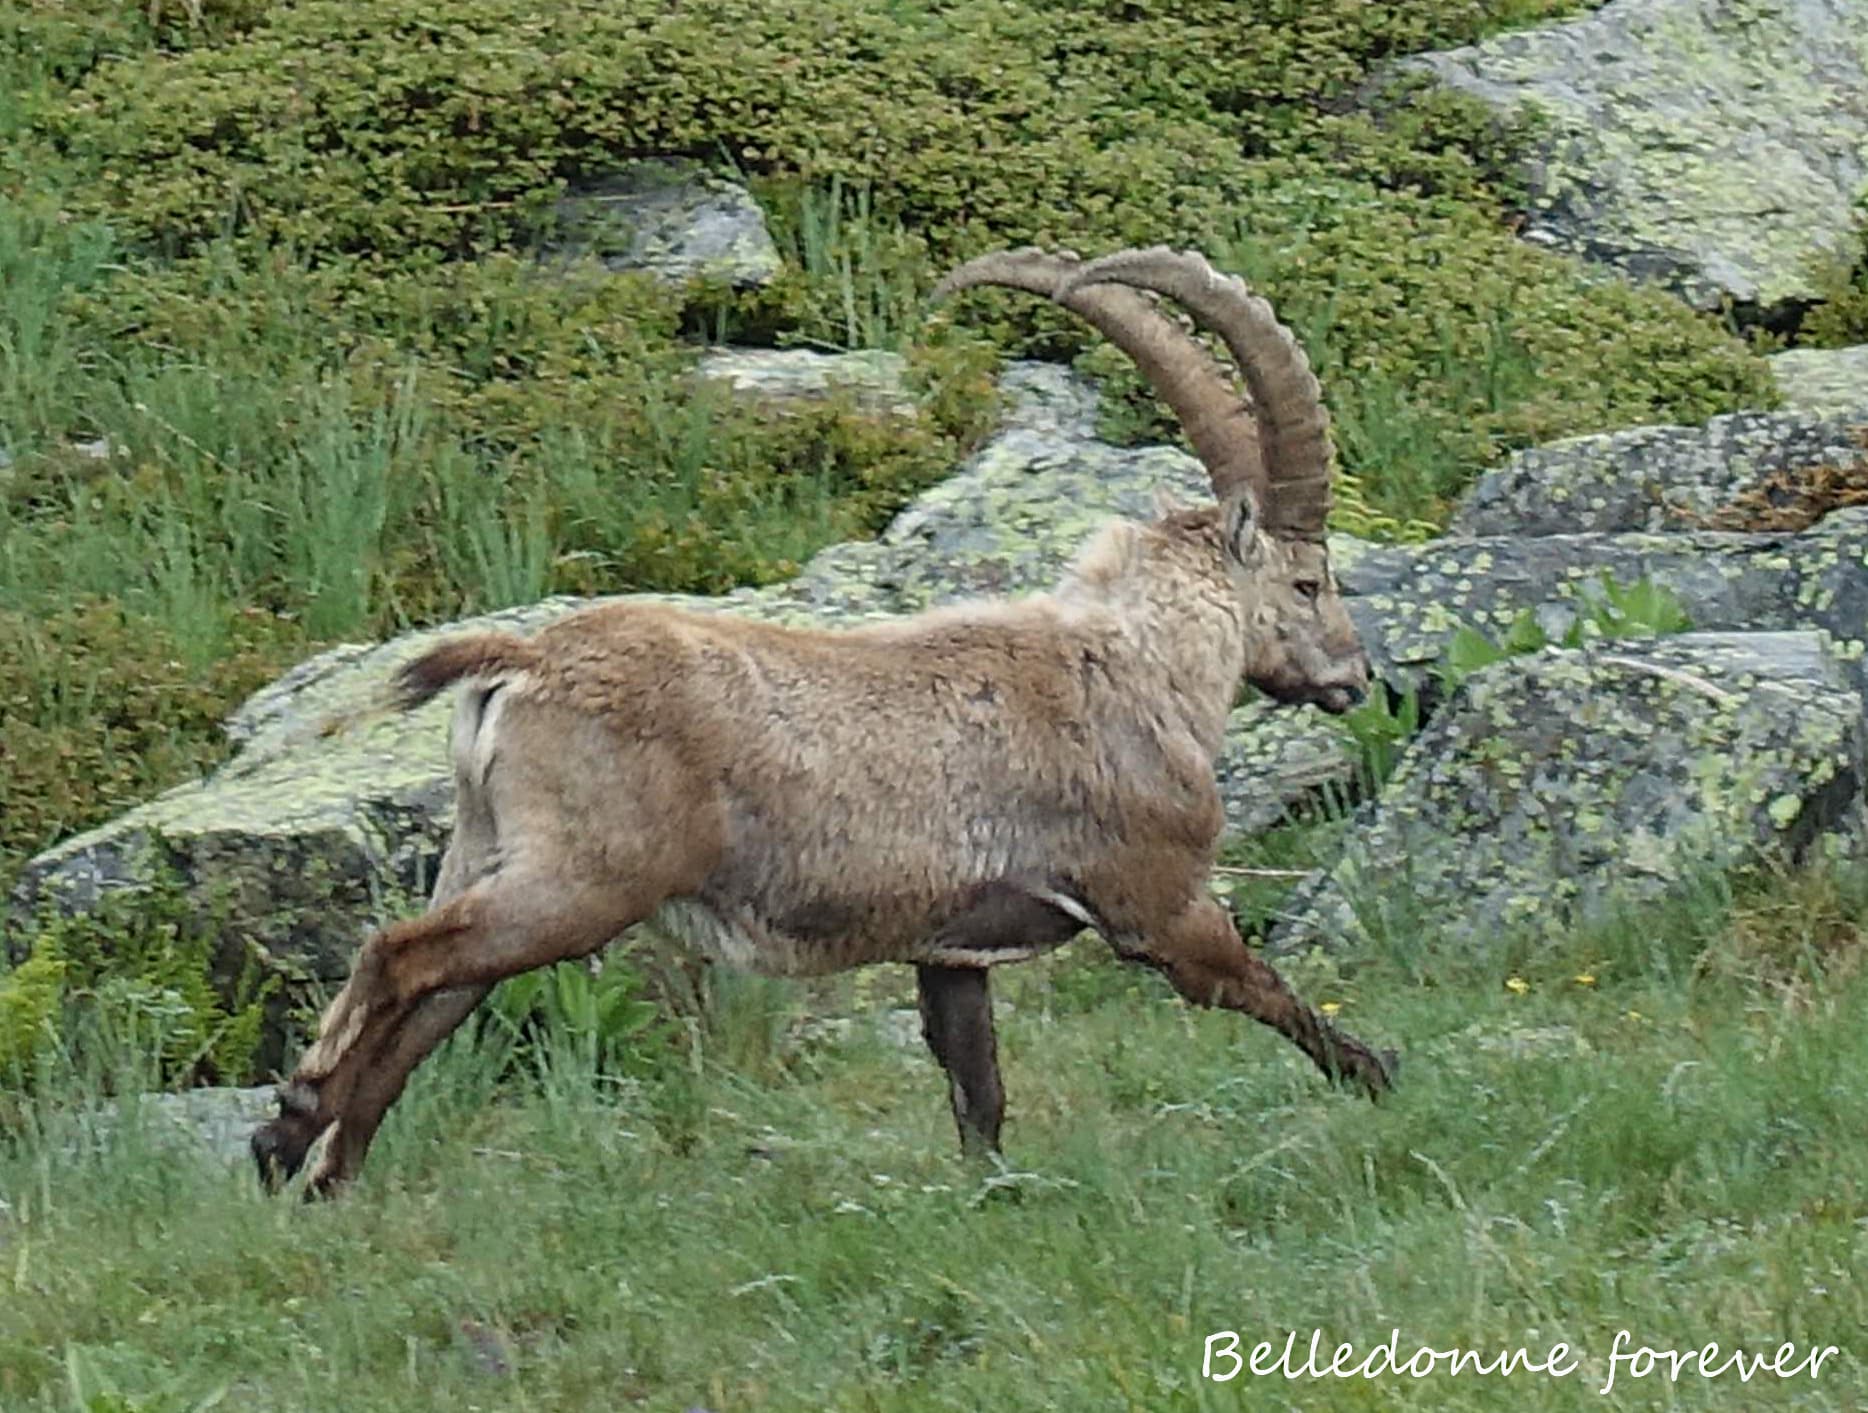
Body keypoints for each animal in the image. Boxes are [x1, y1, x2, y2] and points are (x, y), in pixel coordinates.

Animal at [250, 246, 1396, 1197]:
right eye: (1307, 580)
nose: (1354, 676)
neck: (1135, 668)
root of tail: (522, 666)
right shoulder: (1157, 901)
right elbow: (1260, 990)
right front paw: (1383, 1077)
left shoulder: (952, 948)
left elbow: (976, 1088)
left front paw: (990, 1195)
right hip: (585, 879)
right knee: (399, 956)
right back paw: (293, 1120)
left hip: (492, 855)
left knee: (426, 1003)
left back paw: (318, 1164)